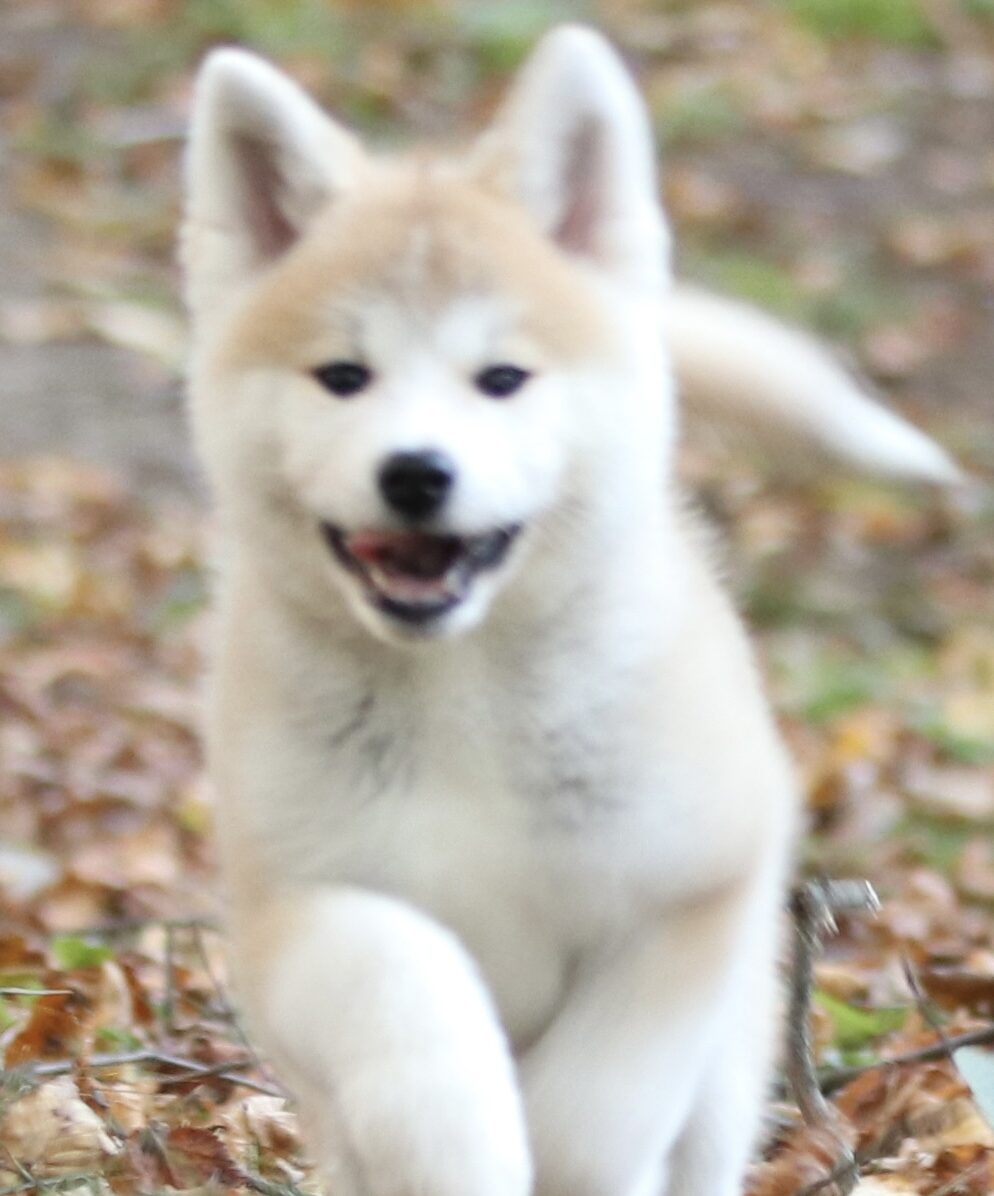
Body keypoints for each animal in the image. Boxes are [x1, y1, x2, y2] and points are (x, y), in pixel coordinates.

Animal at [181, 26, 960, 1196]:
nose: (416, 473)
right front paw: (461, 1140)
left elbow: (599, 1104)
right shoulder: (299, 909)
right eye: (343, 375)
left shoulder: (692, 895)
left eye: (502, 377)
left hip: (724, 1078)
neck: (461, 695)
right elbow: (413, 999)